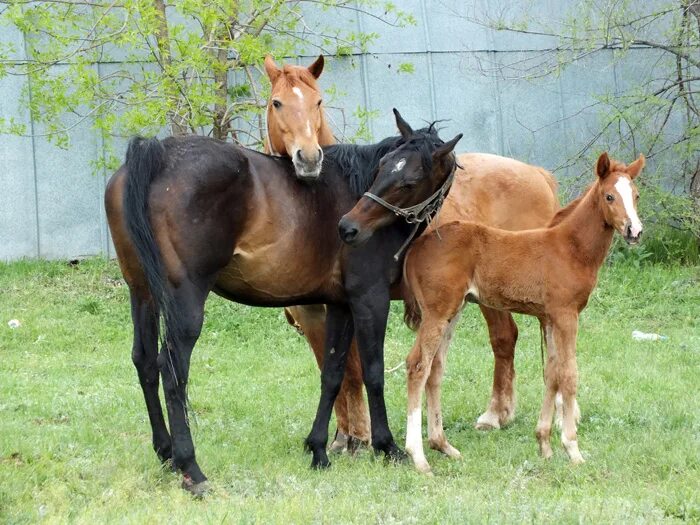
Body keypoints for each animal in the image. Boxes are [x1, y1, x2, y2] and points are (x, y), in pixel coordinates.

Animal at [104, 108, 462, 494]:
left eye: (409, 180)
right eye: (383, 169)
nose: (348, 227)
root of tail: (157, 154)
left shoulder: (340, 305)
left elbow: (333, 373)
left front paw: (318, 449)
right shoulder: (370, 298)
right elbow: (373, 372)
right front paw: (387, 446)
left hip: (142, 293)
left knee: (144, 363)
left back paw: (166, 453)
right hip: (184, 302)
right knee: (171, 369)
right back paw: (191, 469)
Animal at [266, 58, 560, 450]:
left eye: (317, 102)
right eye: (277, 103)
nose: (308, 158)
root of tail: (538, 175)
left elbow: (353, 368)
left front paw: (357, 436)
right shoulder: (316, 311)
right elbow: (334, 368)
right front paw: (343, 434)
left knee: (506, 338)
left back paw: (498, 414)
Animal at [396, 150, 644, 470]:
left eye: (636, 195)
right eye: (610, 196)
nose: (634, 231)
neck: (569, 248)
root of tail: (416, 249)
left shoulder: (550, 318)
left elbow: (552, 374)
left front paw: (544, 445)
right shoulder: (566, 315)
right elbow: (569, 375)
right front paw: (572, 449)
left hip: (453, 311)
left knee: (435, 367)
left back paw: (443, 445)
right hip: (437, 312)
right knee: (418, 365)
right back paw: (418, 456)